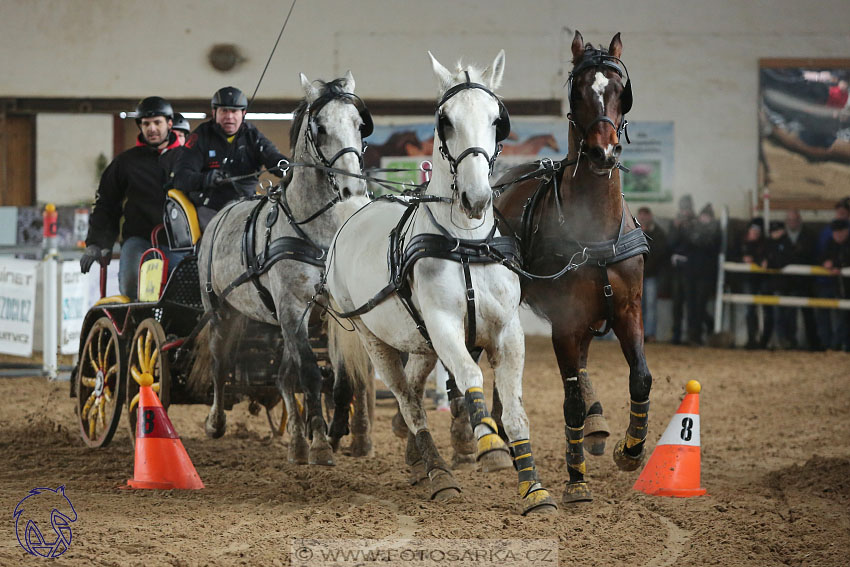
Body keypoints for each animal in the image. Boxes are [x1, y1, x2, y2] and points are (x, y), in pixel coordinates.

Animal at [324, 52, 556, 516]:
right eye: (445, 120)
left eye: (497, 120)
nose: (476, 198)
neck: (466, 244)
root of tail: (354, 210)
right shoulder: (444, 326)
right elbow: (469, 376)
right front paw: (488, 444)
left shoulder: (508, 331)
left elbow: (516, 411)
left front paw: (533, 488)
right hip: (374, 338)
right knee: (407, 399)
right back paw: (438, 474)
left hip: (419, 341)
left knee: (413, 389)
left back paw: (418, 461)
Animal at [490, 32, 648, 506]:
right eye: (578, 92)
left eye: (619, 90)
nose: (603, 151)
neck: (594, 228)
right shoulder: (564, 320)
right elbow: (570, 399)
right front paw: (576, 480)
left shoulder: (628, 309)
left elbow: (640, 378)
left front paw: (630, 450)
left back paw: (596, 425)